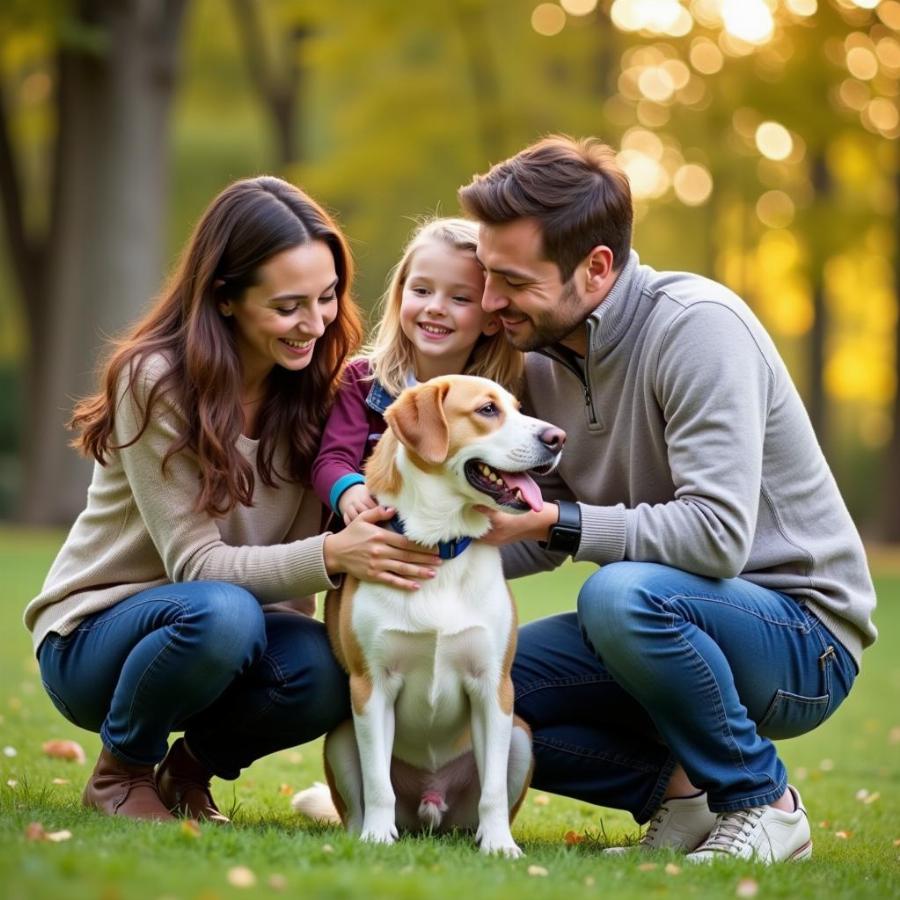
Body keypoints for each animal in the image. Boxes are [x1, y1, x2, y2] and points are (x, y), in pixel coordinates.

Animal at [298, 374, 568, 856]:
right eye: (487, 410)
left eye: (518, 407)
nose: (557, 438)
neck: (441, 547)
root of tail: (431, 808)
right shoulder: (371, 686)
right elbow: (378, 783)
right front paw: (378, 838)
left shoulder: (493, 687)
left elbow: (493, 791)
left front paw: (500, 846)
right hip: (342, 738)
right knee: (360, 802)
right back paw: (365, 833)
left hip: (519, 736)